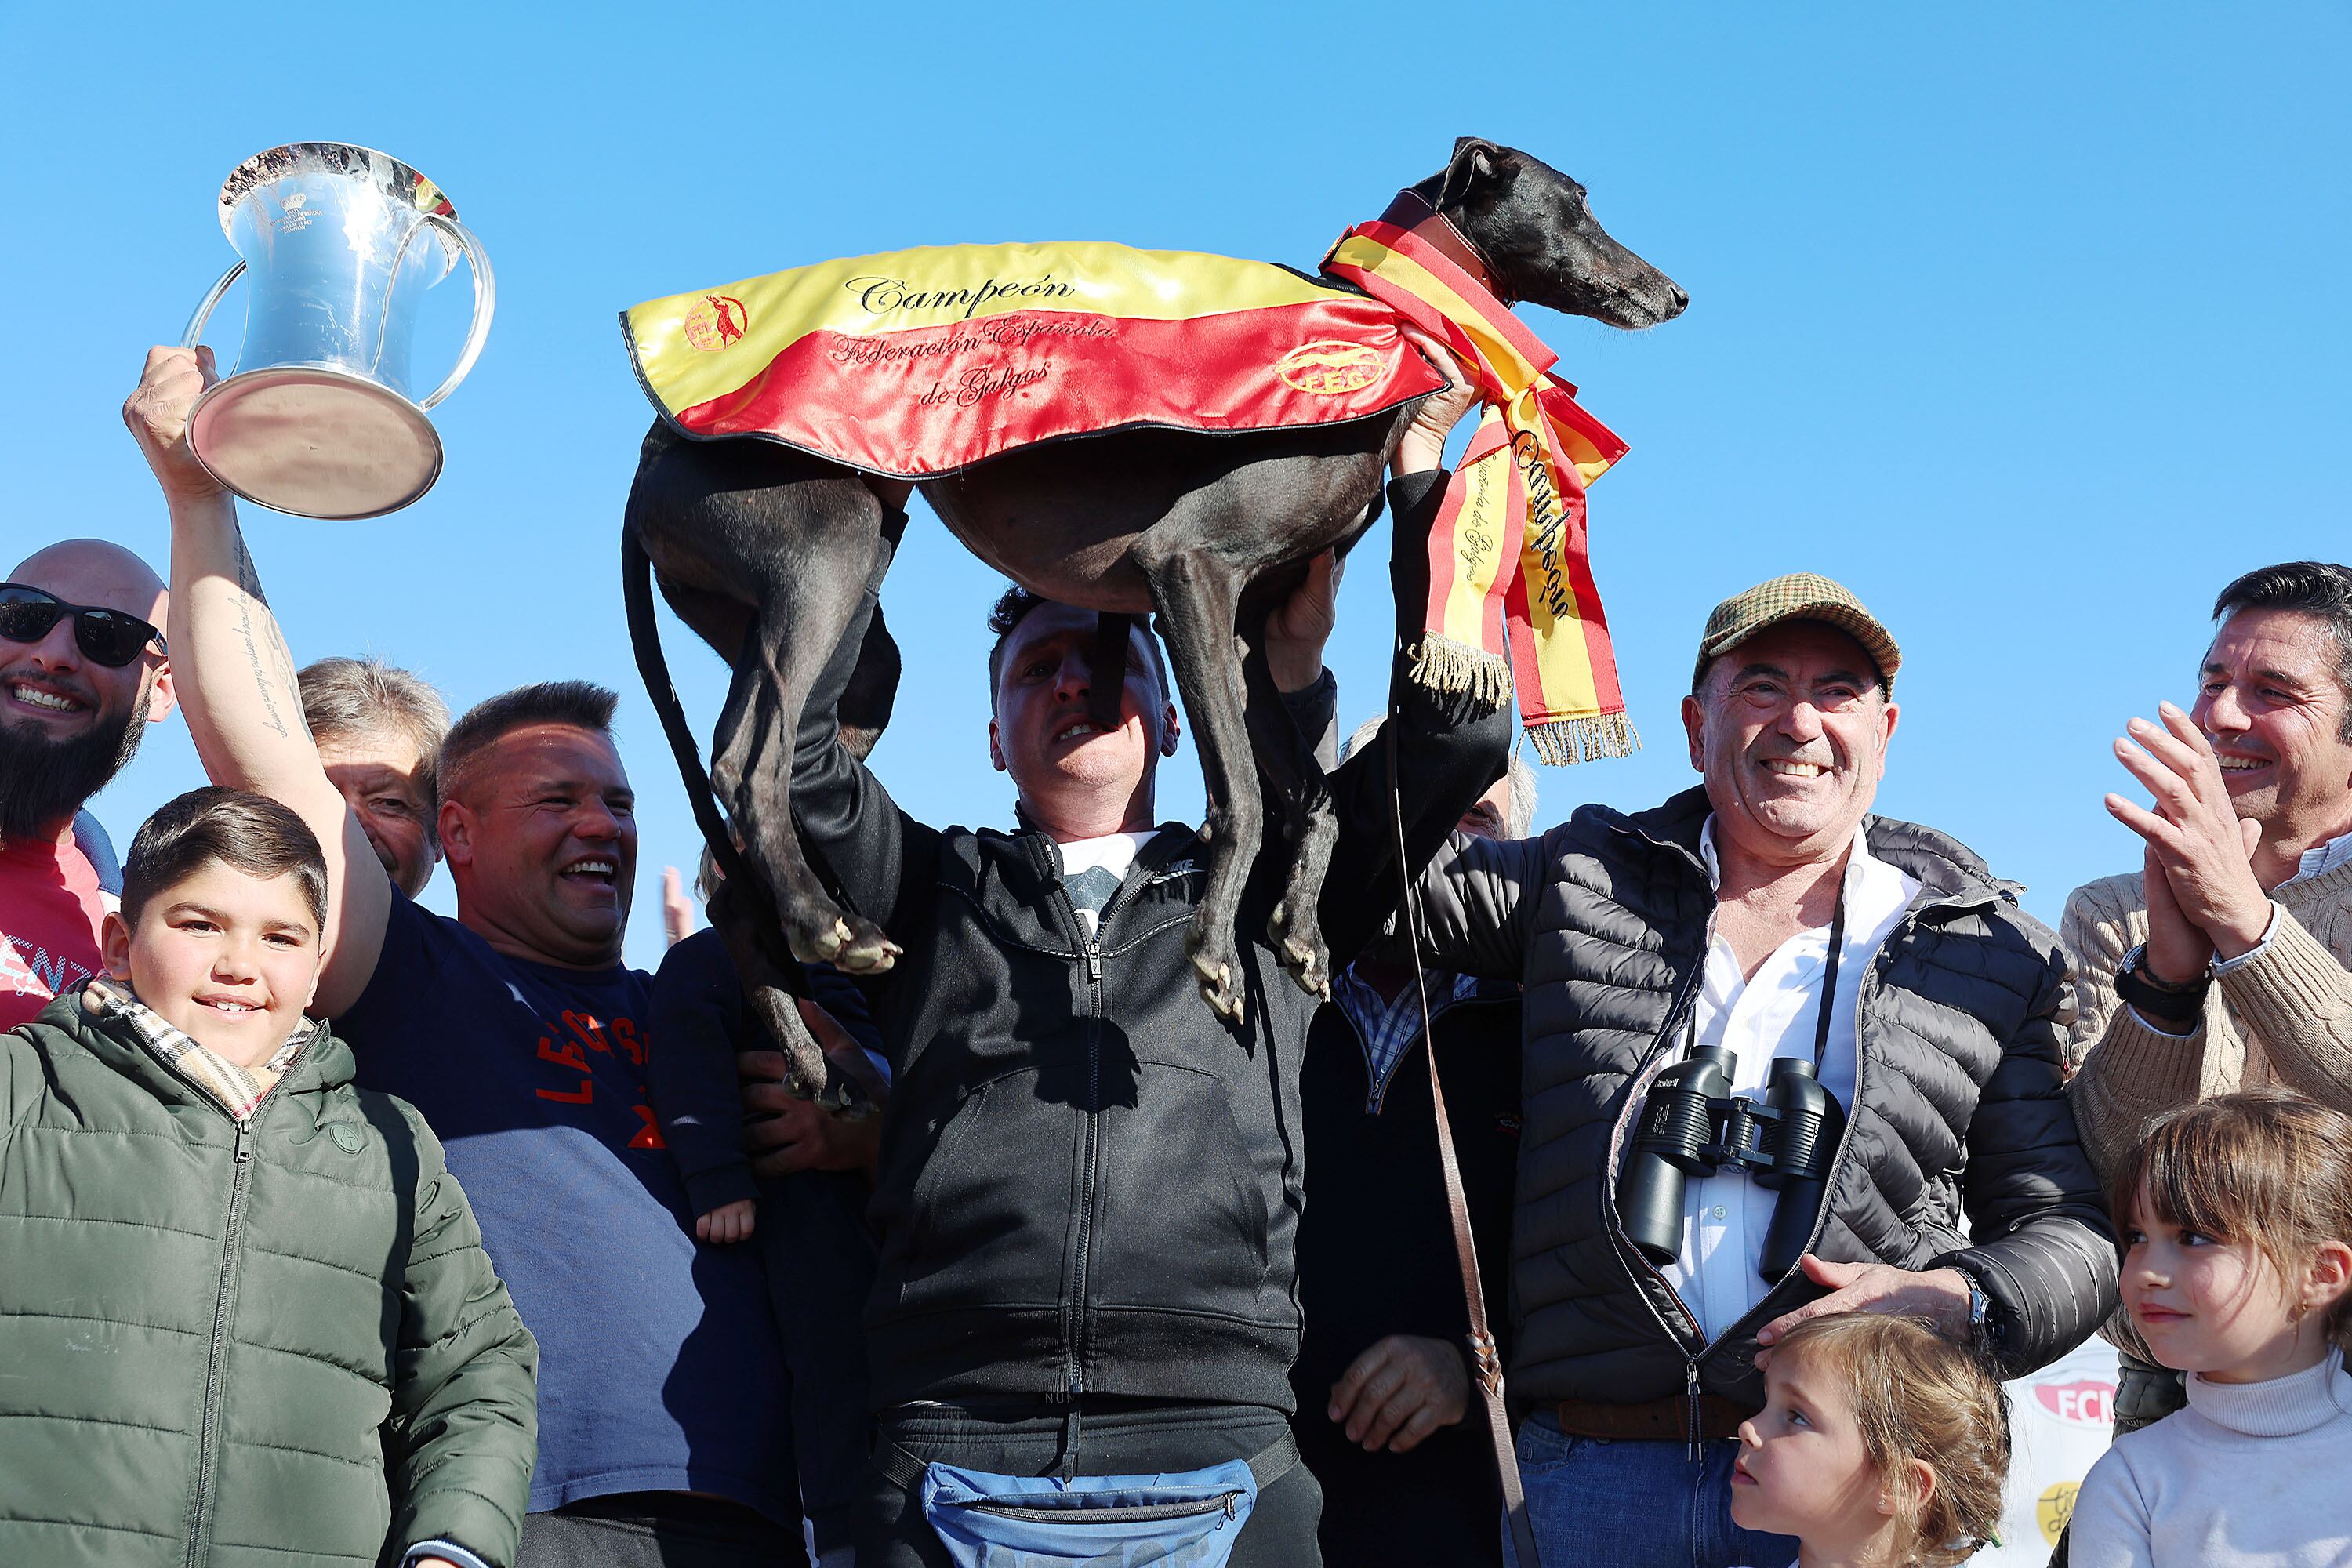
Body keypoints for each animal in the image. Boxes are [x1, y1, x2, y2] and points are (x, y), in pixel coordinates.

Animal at [635, 140, 1684, 1109]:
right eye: (1580, 205)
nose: (1673, 292)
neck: (1378, 313)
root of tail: (652, 445)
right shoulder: (1191, 572)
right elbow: (1246, 798)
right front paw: (1217, 952)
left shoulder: (1249, 627)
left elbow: (1318, 798)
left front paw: (1300, 932)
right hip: (832, 555)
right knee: (745, 762)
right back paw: (829, 927)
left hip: (852, 649)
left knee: (734, 854)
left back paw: (810, 1049)